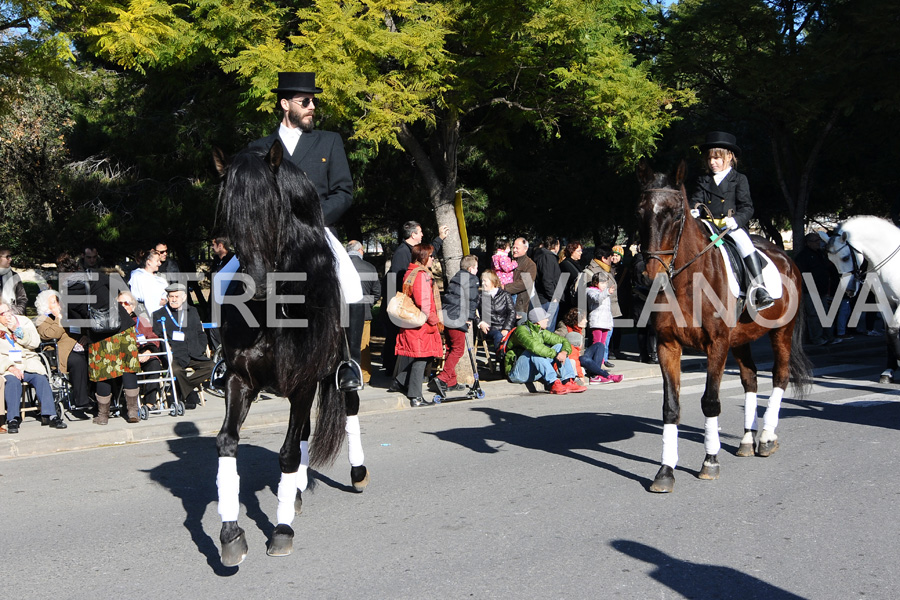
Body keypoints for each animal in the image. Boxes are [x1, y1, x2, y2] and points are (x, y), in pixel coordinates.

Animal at [213, 143, 350, 564]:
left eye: (274, 207)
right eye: (227, 210)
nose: (255, 285)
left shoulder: (304, 383)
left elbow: (289, 453)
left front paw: (282, 530)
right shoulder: (240, 379)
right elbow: (227, 442)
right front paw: (230, 535)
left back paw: (356, 475)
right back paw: (297, 494)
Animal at [636, 159, 812, 492]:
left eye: (676, 214)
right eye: (640, 211)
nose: (651, 276)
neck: (688, 282)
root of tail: (788, 259)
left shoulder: (716, 344)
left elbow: (710, 402)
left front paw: (710, 461)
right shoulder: (668, 345)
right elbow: (671, 407)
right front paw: (665, 471)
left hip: (781, 332)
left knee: (779, 377)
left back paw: (766, 438)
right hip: (742, 339)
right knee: (751, 380)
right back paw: (747, 441)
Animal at [828, 218, 900, 382]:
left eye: (845, 257)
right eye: (831, 261)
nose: (848, 290)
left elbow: (894, 329)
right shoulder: (883, 301)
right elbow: (889, 333)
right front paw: (889, 371)